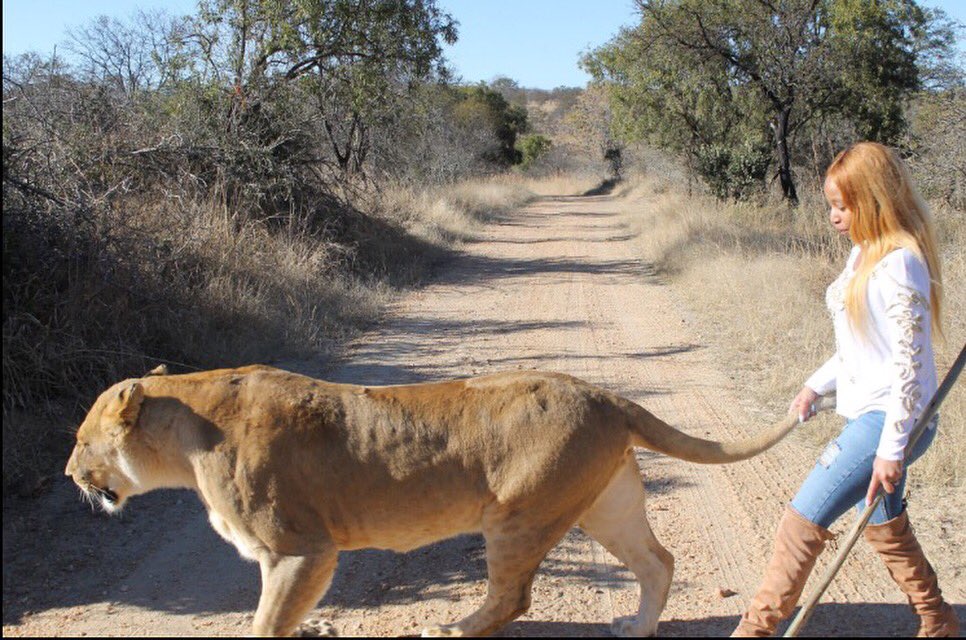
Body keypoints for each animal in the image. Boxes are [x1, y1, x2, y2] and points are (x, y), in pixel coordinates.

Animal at [65, 364, 828, 637]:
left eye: (80, 439)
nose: (69, 474)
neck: (187, 430)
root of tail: (603, 394)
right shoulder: (288, 559)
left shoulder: (301, 549)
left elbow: (265, 623)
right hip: (606, 504)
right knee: (658, 562)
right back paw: (636, 628)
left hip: (520, 515)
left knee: (513, 599)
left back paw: (451, 629)